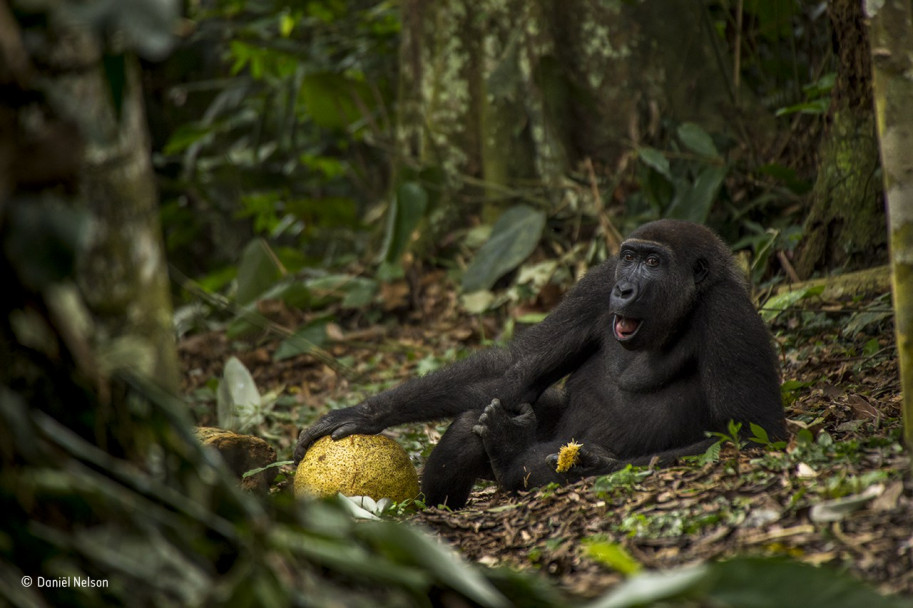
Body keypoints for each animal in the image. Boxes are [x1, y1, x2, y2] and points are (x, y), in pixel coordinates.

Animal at [296, 218, 788, 508]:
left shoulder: (728, 314)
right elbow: (515, 369)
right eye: (629, 257)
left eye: (654, 261)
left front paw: (595, 464)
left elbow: (751, 434)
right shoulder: (597, 283)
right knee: (480, 414)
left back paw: (512, 455)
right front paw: (365, 412)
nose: (625, 289)